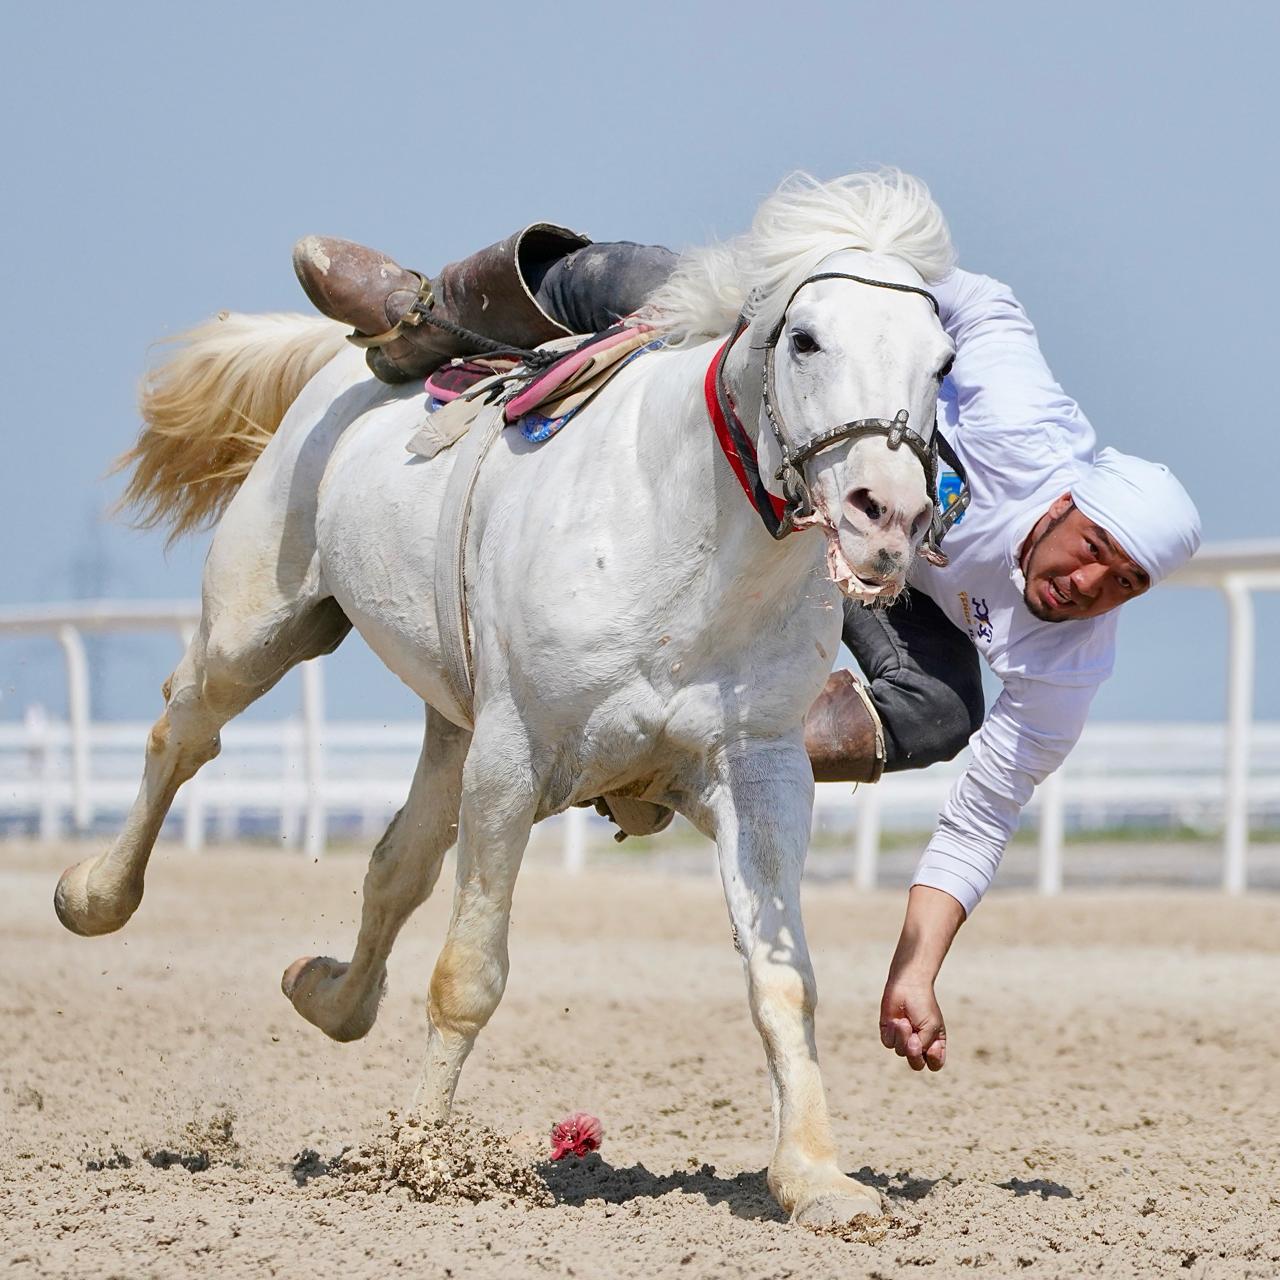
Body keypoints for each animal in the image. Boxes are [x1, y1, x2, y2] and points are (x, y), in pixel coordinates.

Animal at [55, 172, 957, 1228]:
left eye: (942, 361)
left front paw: (815, 1176)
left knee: (395, 866)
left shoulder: (762, 772)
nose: (887, 517)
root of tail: (335, 369)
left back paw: (326, 993)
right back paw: (92, 896)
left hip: (450, 723)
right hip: (261, 628)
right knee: (182, 733)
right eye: (807, 338)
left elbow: (783, 980)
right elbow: (468, 975)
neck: (682, 537)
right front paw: (417, 1158)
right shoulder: (513, 758)